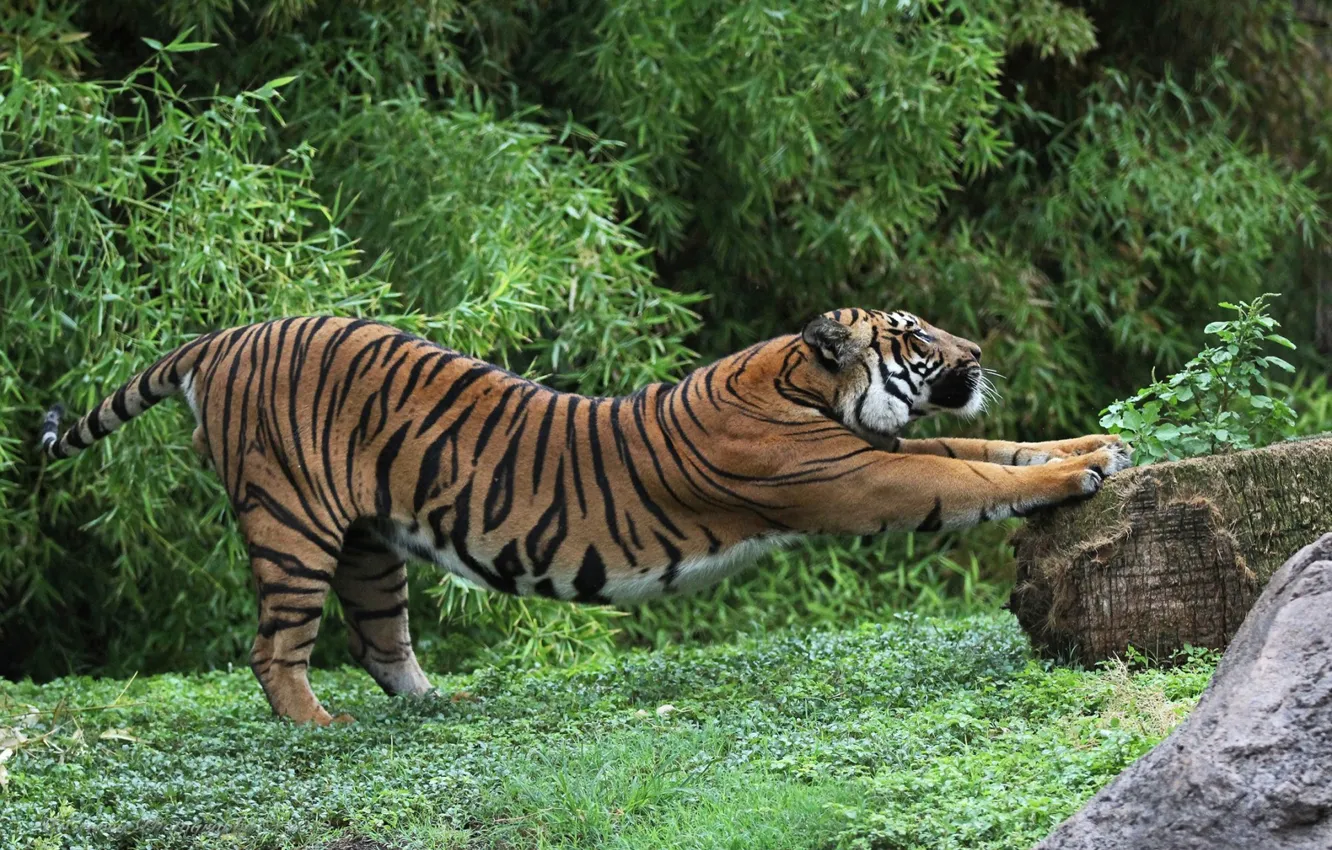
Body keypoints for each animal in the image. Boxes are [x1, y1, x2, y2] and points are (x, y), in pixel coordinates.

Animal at [39, 309, 1130, 725]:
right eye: (914, 336)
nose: (979, 351)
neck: (801, 385)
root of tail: (222, 335)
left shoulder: (880, 451)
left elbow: (990, 450)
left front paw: (1095, 444)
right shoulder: (860, 477)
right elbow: (969, 479)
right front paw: (1078, 471)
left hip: (368, 544)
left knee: (381, 640)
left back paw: (439, 705)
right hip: (293, 526)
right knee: (274, 648)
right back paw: (317, 723)